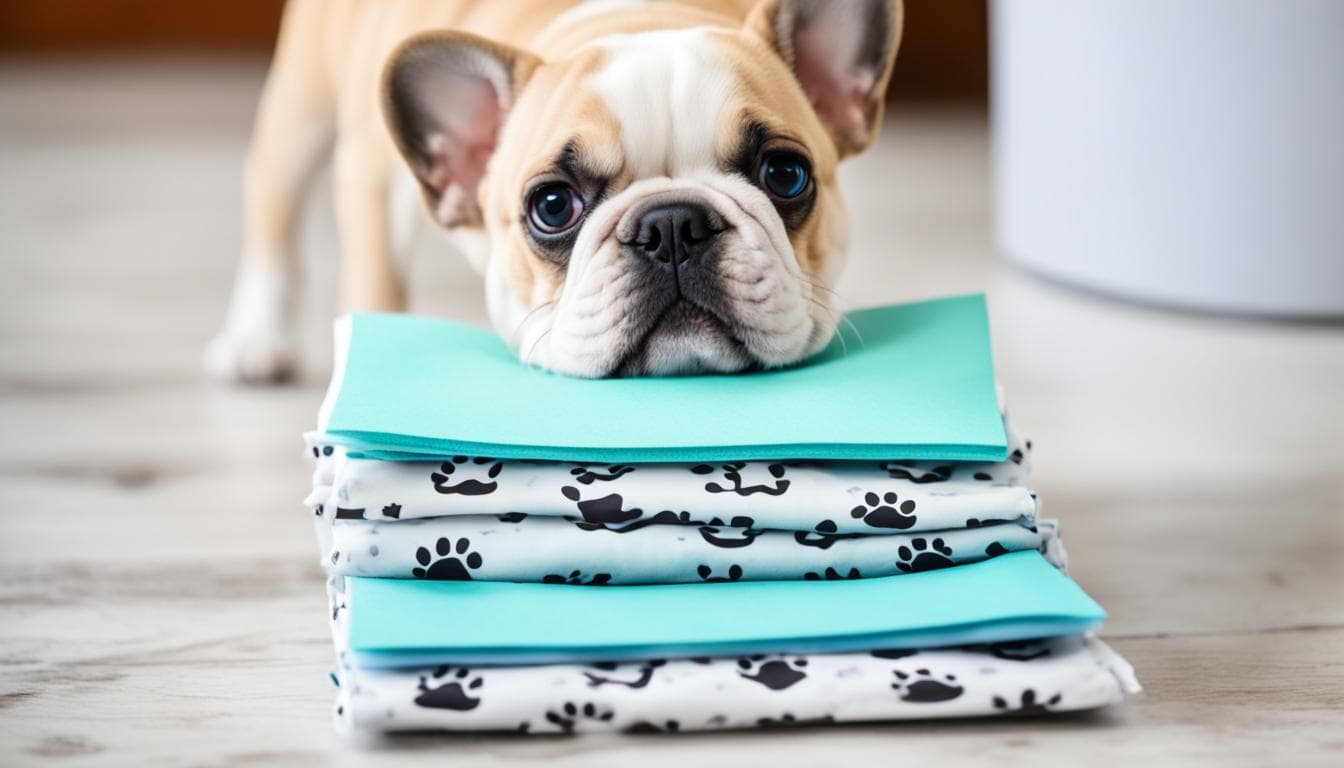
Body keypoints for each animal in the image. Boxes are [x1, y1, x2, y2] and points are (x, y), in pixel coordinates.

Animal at [206, 0, 903, 381]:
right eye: (552, 206)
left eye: (785, 174)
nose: (672, 224)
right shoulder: (373, 179)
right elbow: (376, 284)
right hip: (303, 107)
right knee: (271, 207)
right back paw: (253, 339)